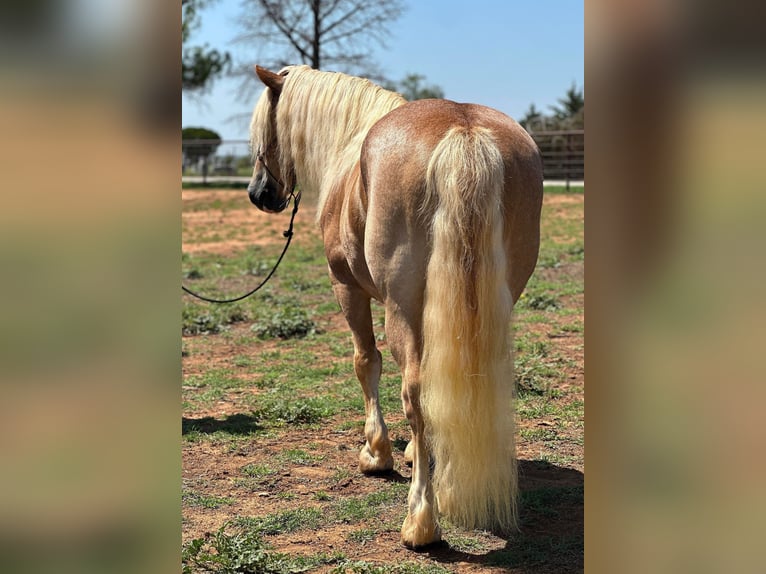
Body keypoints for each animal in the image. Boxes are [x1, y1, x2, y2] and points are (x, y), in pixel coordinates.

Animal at [249, 64, 544, 548]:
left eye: (264, 132)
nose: (259, 193)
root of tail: (463, 131)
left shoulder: (346, 287)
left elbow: (366, 361)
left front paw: (377, 452)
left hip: (399, 309)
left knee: (415, 391)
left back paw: (420, 521)